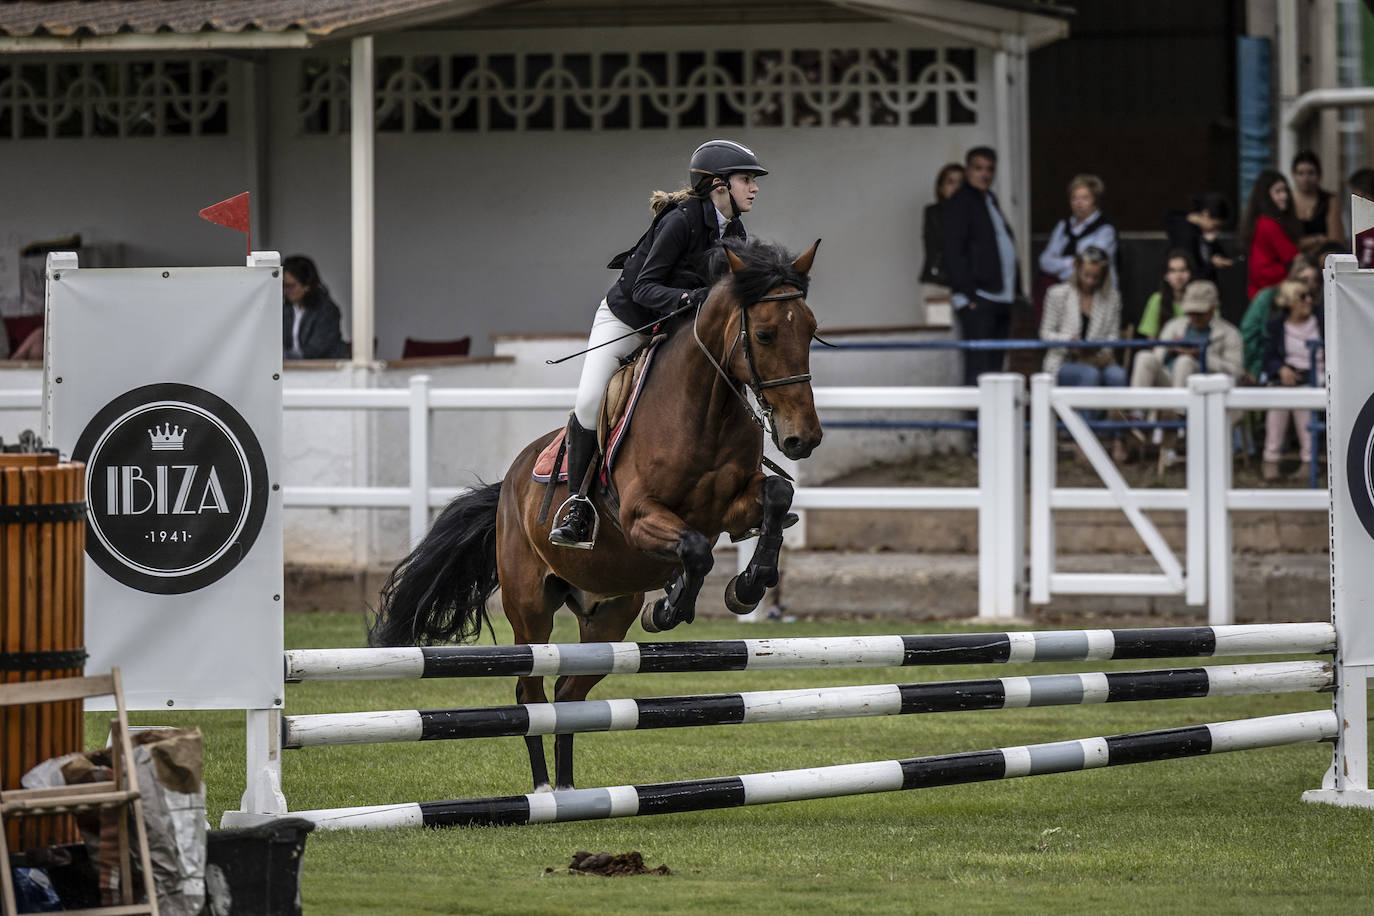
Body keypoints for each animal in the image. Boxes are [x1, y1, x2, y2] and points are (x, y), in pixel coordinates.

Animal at [365, 240, 818, 791]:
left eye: (812, 330)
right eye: (767, 333)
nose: (803, 438)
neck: (704, 409)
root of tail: (509, 483)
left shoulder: (731, 510)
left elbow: (775, 495)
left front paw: (749, 586)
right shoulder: (640, 517)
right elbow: (694, 549)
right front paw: (671, 607)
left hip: (607, 617)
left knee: (568, 696)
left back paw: (565, 790)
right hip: (530, 609)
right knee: (531, 696)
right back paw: (544, 791)